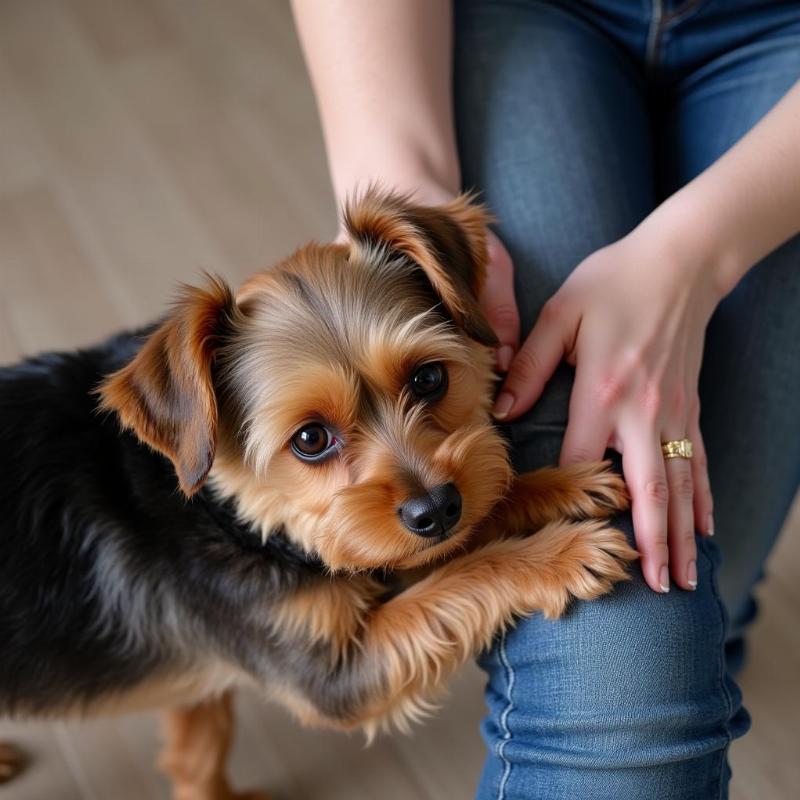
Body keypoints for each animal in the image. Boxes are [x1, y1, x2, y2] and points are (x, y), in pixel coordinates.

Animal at [0, 192, 636, 800]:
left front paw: (559, 485)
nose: (436, 510)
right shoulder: (329, 675)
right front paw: (558, 555)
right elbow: (457, 580)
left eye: (430, 378)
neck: (226, 509)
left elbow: (198, 747)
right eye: (309, 439)